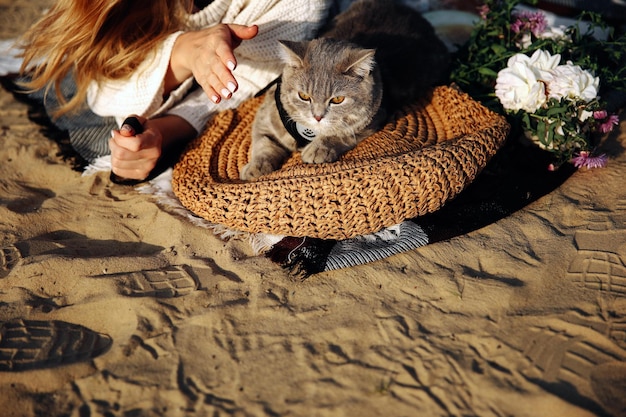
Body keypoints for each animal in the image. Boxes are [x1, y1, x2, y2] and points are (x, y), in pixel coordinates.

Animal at [239, 0, 448, 180]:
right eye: (304, 96)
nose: (317, 116)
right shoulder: (266, 114)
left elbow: (340, 133)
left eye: (337, 100)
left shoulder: (372, 119)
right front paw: (256, 166)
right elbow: (262, 142)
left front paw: (318, 148)